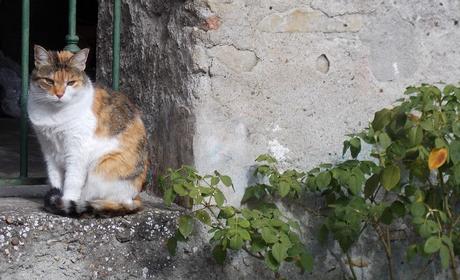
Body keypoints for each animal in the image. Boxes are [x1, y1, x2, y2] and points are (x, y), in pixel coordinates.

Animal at [27, 45, 149, 217]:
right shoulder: (49, 150)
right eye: (49, 81)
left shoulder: (77, 150)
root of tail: (134, 197)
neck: (54, 114)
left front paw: (64, 201)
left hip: (101, 168)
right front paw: (56, 196)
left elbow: (72, 181)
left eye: (70, 83)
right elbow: (55, 178)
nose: (59, 94)